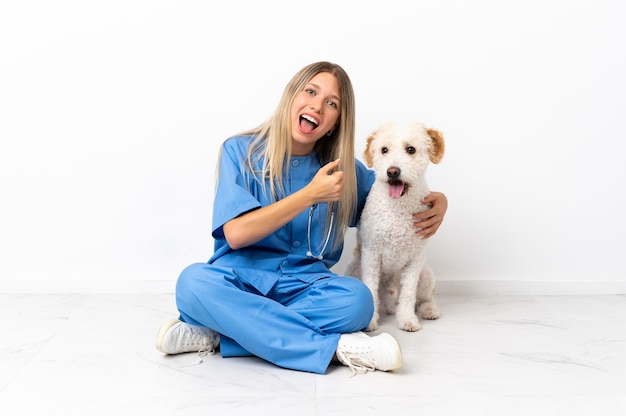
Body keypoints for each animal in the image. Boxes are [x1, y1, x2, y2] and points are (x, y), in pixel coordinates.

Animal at [346, 120, 444, 332]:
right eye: (384, 150)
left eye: (411, 149)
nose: (392, 171)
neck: (397, 209)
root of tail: (389, 307)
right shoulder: (371, 255)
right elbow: (371, 288)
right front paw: (370, 321)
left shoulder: (415, 260)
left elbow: (408, 294)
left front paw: (407, 320)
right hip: (353, 269)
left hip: (425, 274)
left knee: (425, 298)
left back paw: (429, 310)